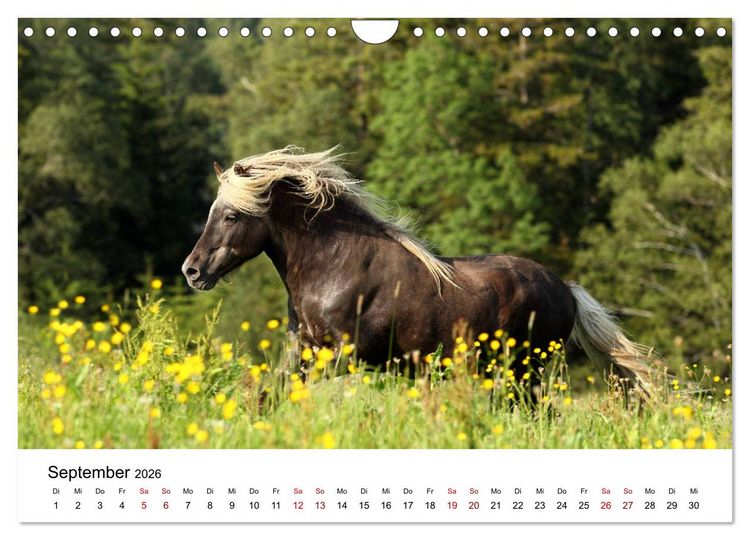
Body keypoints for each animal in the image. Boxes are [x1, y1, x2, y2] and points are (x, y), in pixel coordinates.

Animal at [182, 146, 658, 391]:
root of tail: (566, 288)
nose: (191, 271)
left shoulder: (341, 357)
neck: (332, 266)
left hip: (526, 369)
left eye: (232, 216)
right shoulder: (304, 353)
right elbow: (268, 396)